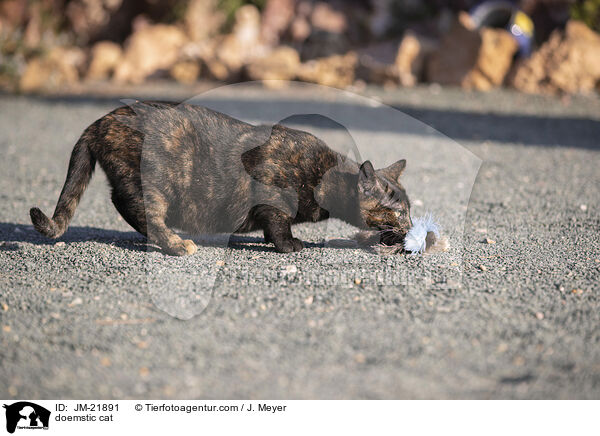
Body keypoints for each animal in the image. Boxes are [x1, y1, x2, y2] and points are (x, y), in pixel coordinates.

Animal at [29, 102, 412, 255]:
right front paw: (289, 245)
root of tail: (100, 121)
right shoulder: (272, 197)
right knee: (134, 206)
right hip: (157, 177)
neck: (322, 176)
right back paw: (175, 243)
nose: (411, 227)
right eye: (399, 212)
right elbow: (279, 226)